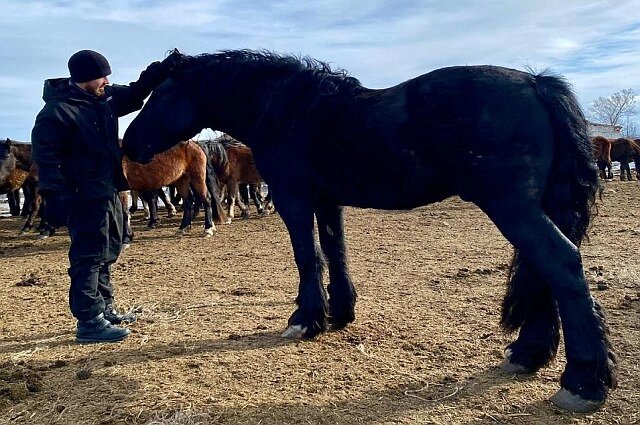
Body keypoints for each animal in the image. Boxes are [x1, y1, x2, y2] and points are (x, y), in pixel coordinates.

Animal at [121, 49, 616, 410]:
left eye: (158, 95)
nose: (129, 143)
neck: (290, 109)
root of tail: (536, 83)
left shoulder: (294, 199)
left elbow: (308, 257)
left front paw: (306, 319)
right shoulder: (327, 202)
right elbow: (334, 252)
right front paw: (339, 313)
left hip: (512, 207)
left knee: (562, 265)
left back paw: (583, 382)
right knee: (546, 273)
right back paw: (530, 353)